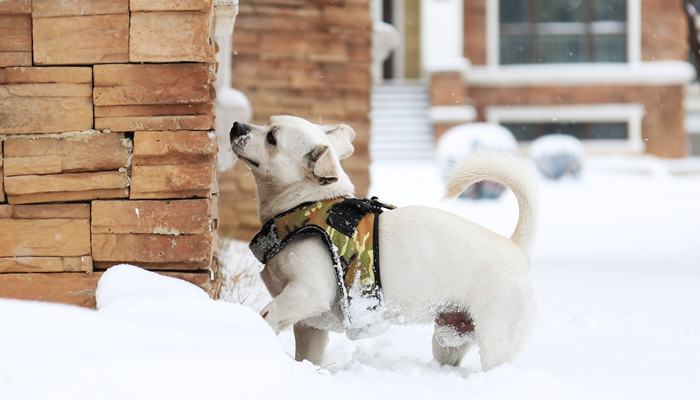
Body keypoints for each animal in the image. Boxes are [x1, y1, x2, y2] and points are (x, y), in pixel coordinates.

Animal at [232, 114, 540, 370]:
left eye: (272, 138)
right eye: (267, 123)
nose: (236, 126)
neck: (305, 204)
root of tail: (514, 247)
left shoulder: (308, 292)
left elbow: (268, 315)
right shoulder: (310, 326)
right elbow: (307, 355)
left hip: (495, 340)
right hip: (448, 339)